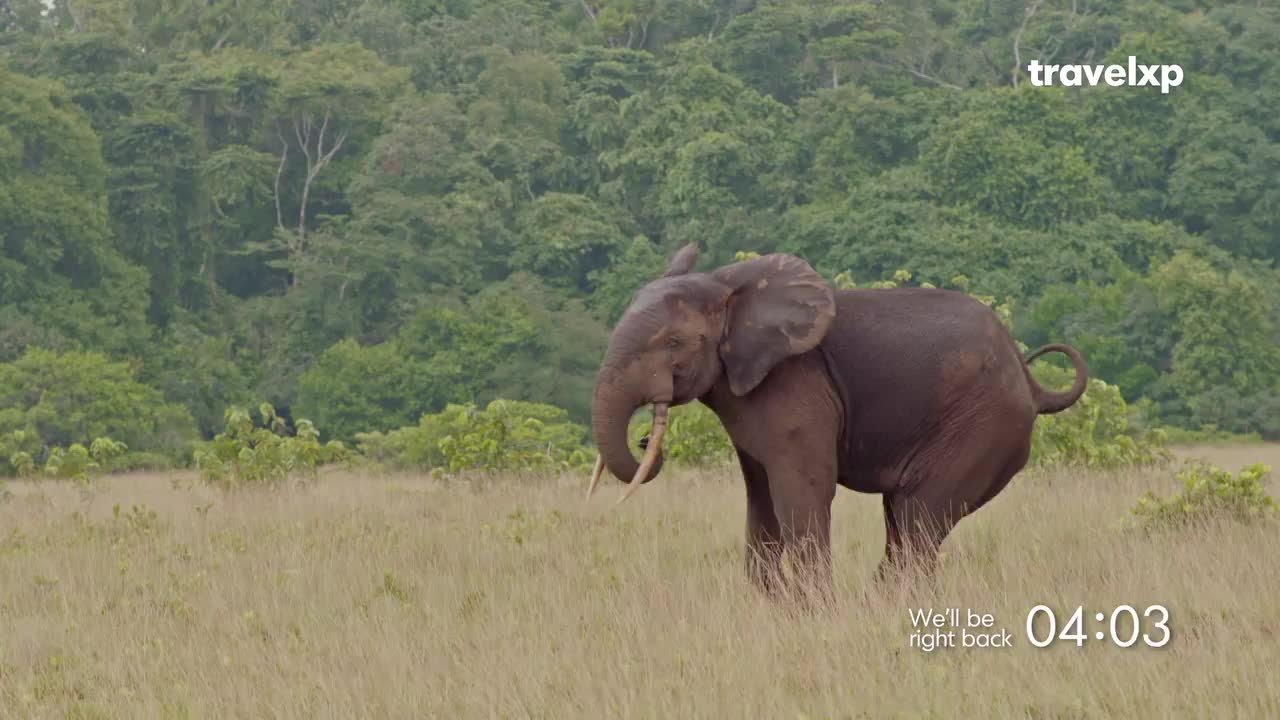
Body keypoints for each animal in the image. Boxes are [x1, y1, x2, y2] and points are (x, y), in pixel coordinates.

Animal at [587, 243, 1087, 595]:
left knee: (918, 517)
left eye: (673, 343)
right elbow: (760, 497)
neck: (726, 286)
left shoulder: (795, 385)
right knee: (903, 518)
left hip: (983, 428)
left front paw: (815, 611)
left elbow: (802, 489)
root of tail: (1031, 380)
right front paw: (781, 606)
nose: (645, 442)